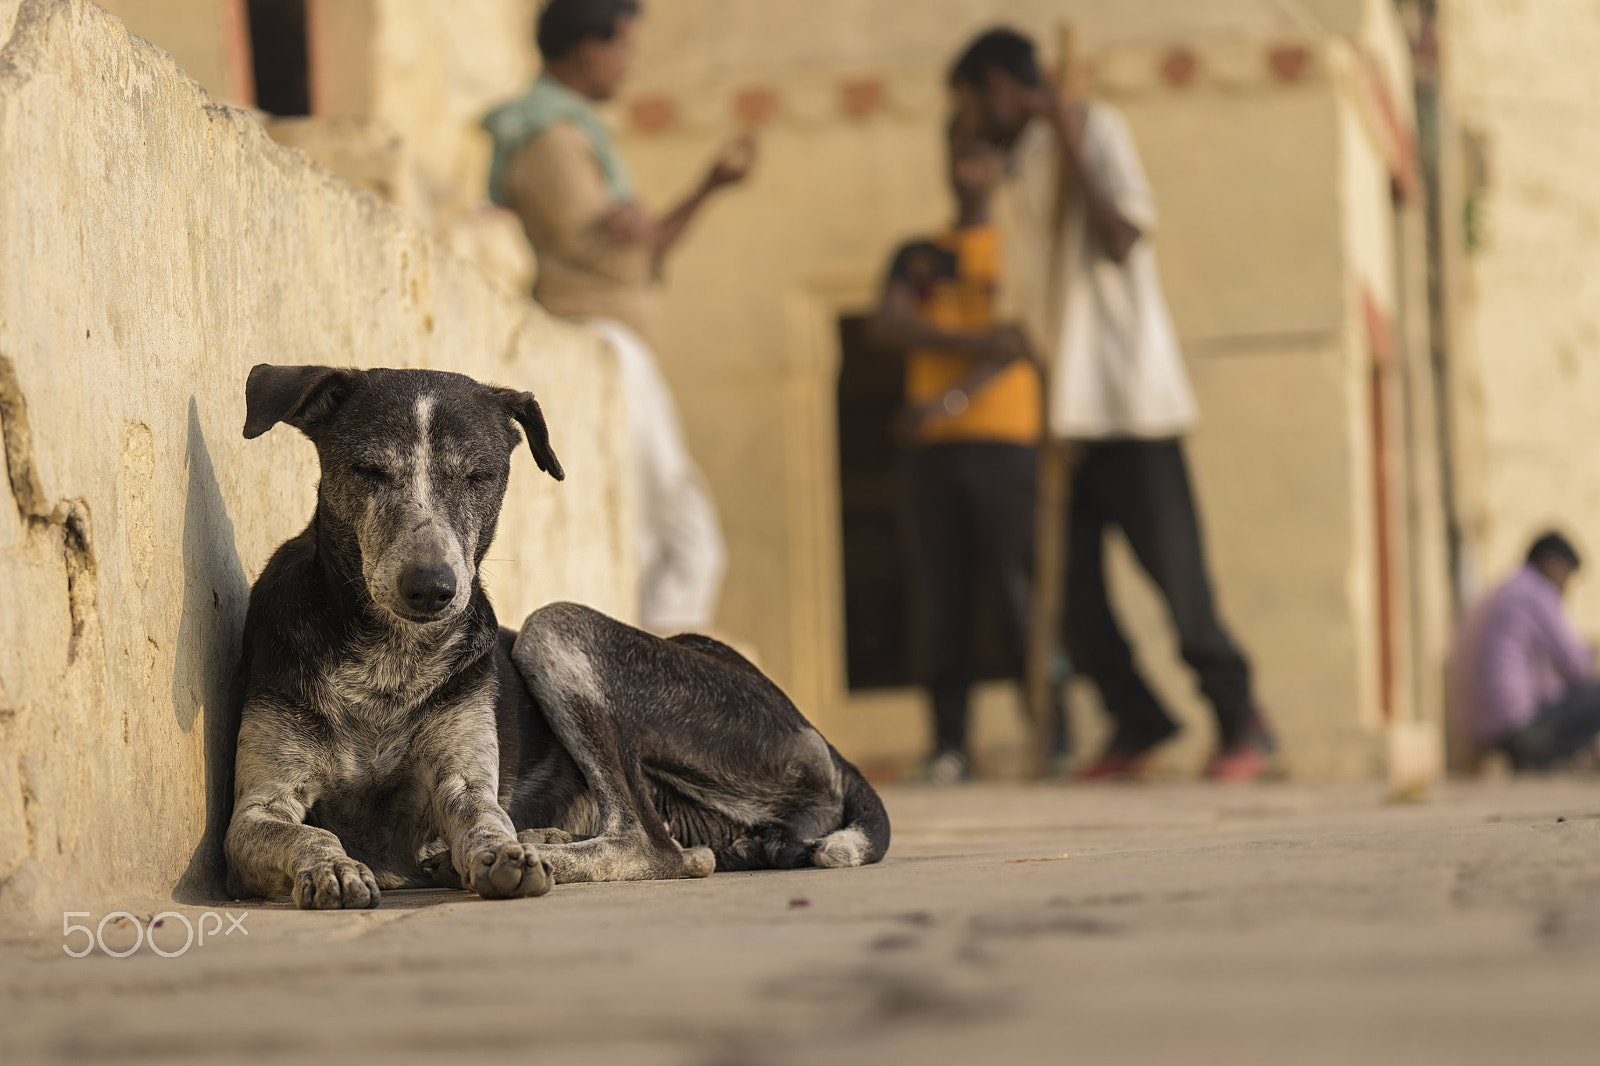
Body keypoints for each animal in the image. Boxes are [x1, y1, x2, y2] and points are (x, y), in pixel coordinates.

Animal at [225, 363, 896, 902]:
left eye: (479, 476)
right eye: (368, 470)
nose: (432, 588)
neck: (390, 660)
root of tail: (820, 738)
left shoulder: (466, 781)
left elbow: (483, 819)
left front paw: (502, 854)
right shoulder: (257, 811)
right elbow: (306, 832)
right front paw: (334, 866)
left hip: (555, 627)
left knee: (656, 847)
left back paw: (532, 849)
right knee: (682, 850)